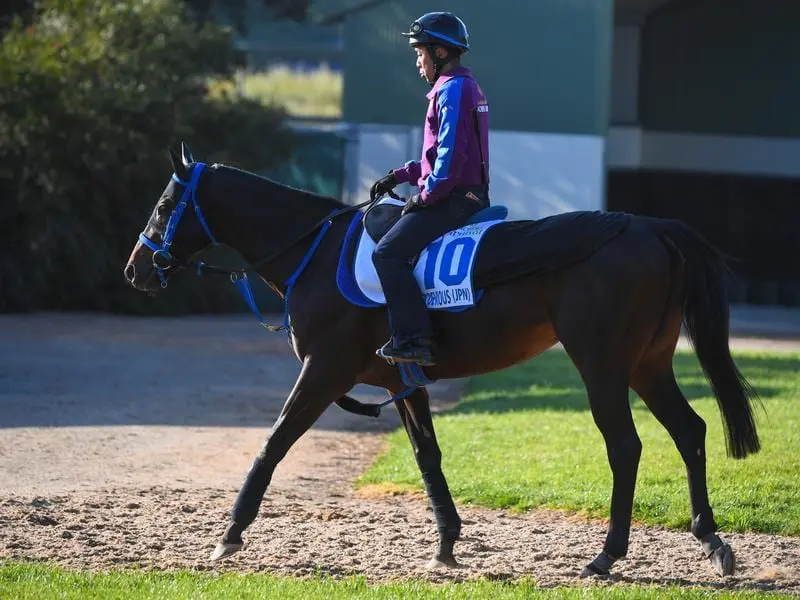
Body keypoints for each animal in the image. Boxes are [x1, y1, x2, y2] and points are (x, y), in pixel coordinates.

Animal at [125, 143, 764, 580]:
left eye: (163, 204)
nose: (135, 269)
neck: (316, 252)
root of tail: (648, 227)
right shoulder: (404, 382)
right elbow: (428, 457)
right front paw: (448, 544)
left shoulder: (324, 372)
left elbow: (274, 442)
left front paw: (230, 532)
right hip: (647, 366)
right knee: (690, 430)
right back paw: (711, 540)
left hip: (603, 366)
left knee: (626, 447)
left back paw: (607, 555)